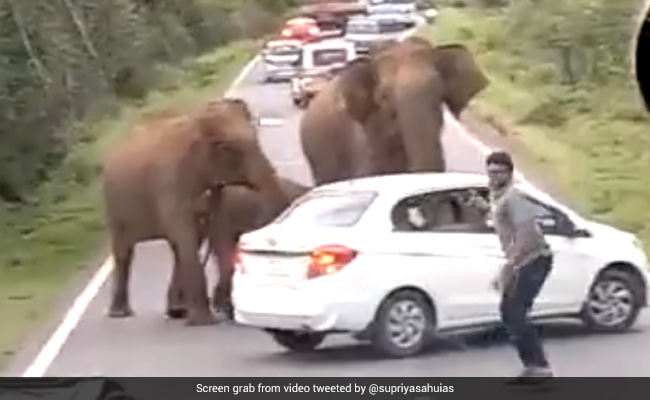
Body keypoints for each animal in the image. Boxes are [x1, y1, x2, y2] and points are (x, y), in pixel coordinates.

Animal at [101, 98, 287, 326]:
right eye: (227, 148)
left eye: (257, 136)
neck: (197, 120)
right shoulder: (168, 182)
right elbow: (188, 235)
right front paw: (205, 321)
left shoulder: (214, 191)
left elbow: (216, 231)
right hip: (114, 205)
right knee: (125, 251)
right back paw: (121, 313)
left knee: (179, 248)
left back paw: (177, 311)